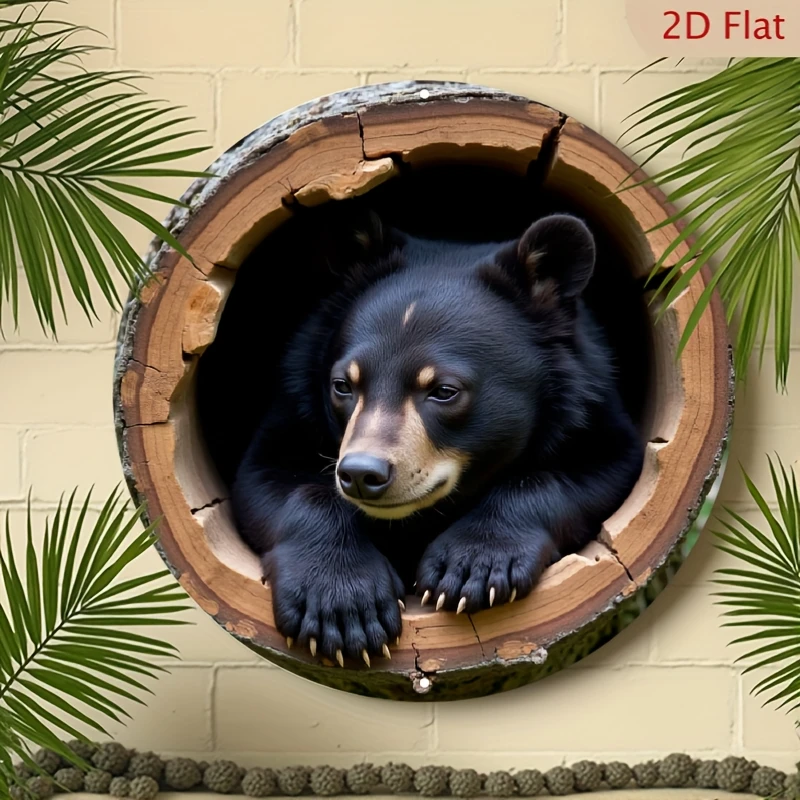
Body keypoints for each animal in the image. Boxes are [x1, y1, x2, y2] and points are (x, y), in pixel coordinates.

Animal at [231, 212, 645, 667]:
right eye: (342, 385)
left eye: (444, 391)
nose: (360, 474)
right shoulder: (294, 402)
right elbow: (269, 477)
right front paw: (342, 608)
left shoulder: (591, 403)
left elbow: (597, 469)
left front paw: (470, 569)